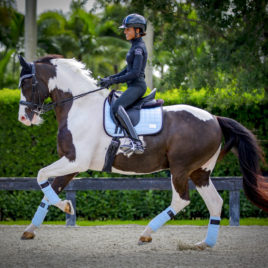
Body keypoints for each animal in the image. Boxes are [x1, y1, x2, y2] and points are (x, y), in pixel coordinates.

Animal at [17, 55, 266, 250]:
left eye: (28, 82)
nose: (23, 118)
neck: (79, 107)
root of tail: (214, 118)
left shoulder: (75, 161)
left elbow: (41, 176)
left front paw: (67, 207)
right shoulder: (71, 165)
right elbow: (48, 192)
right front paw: (31, 229)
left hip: (180, 169)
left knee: (181, 200)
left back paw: (146, 233)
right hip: (200, 172)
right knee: (215, 202)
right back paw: (204, 243)